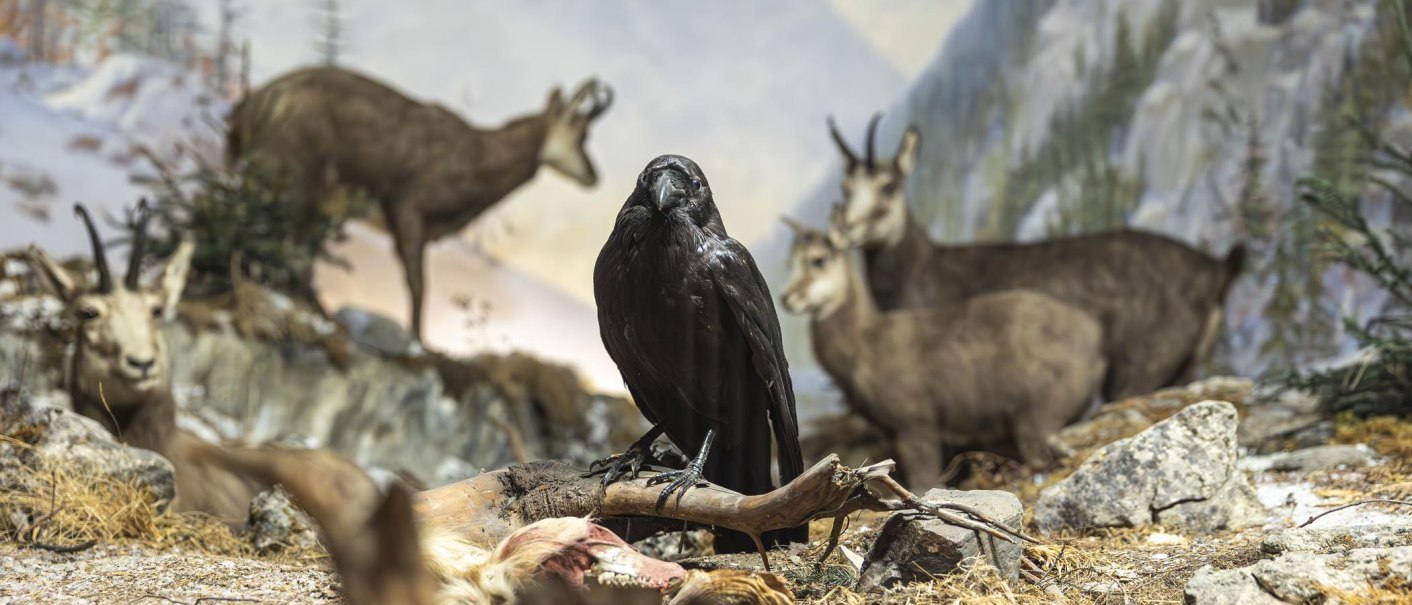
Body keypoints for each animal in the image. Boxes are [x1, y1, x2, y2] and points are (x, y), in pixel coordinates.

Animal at [227, 67, 613, 339]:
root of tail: (264, 99)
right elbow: (418, 285)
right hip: (299, 185)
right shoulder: (408, 210)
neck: (477, 155)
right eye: (580, 132)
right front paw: (419, 340)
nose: (593, 177)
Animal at [780, 217, 1106, 488]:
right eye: (791, 261)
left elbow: (923, 482)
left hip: (1038, 414)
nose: (787, 297)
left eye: (819, 259)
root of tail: (1094, 338)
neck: (865, 347)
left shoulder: (916, 425)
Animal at [827, 114, 1245, 401]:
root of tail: (1219, 269)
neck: (921, 271)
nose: (847, 228)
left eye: (888, 186)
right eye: (845, 187)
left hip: (1142, 362)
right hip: (1185, 363)